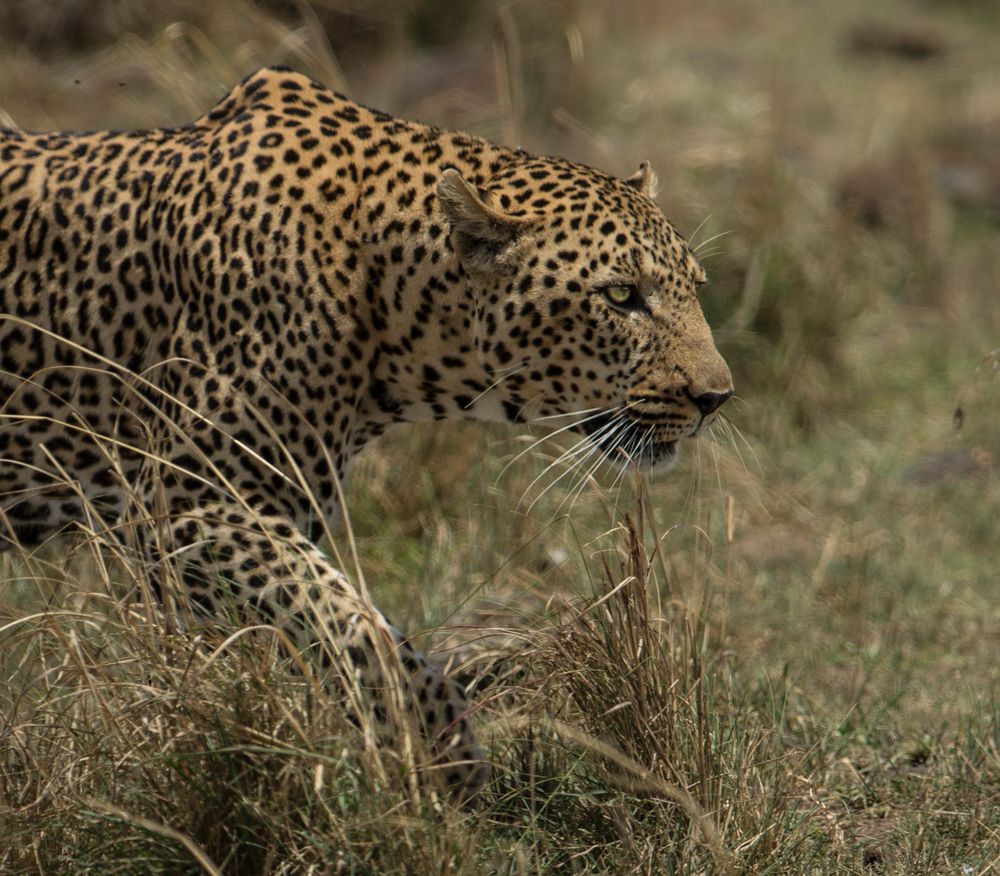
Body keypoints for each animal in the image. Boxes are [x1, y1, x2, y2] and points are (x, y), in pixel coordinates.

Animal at [0, 65, 736, 796]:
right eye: (620, 296)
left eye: (696, 288)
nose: (716, 398)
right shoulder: (186, 505)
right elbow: (354, 630)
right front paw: (443, 758)